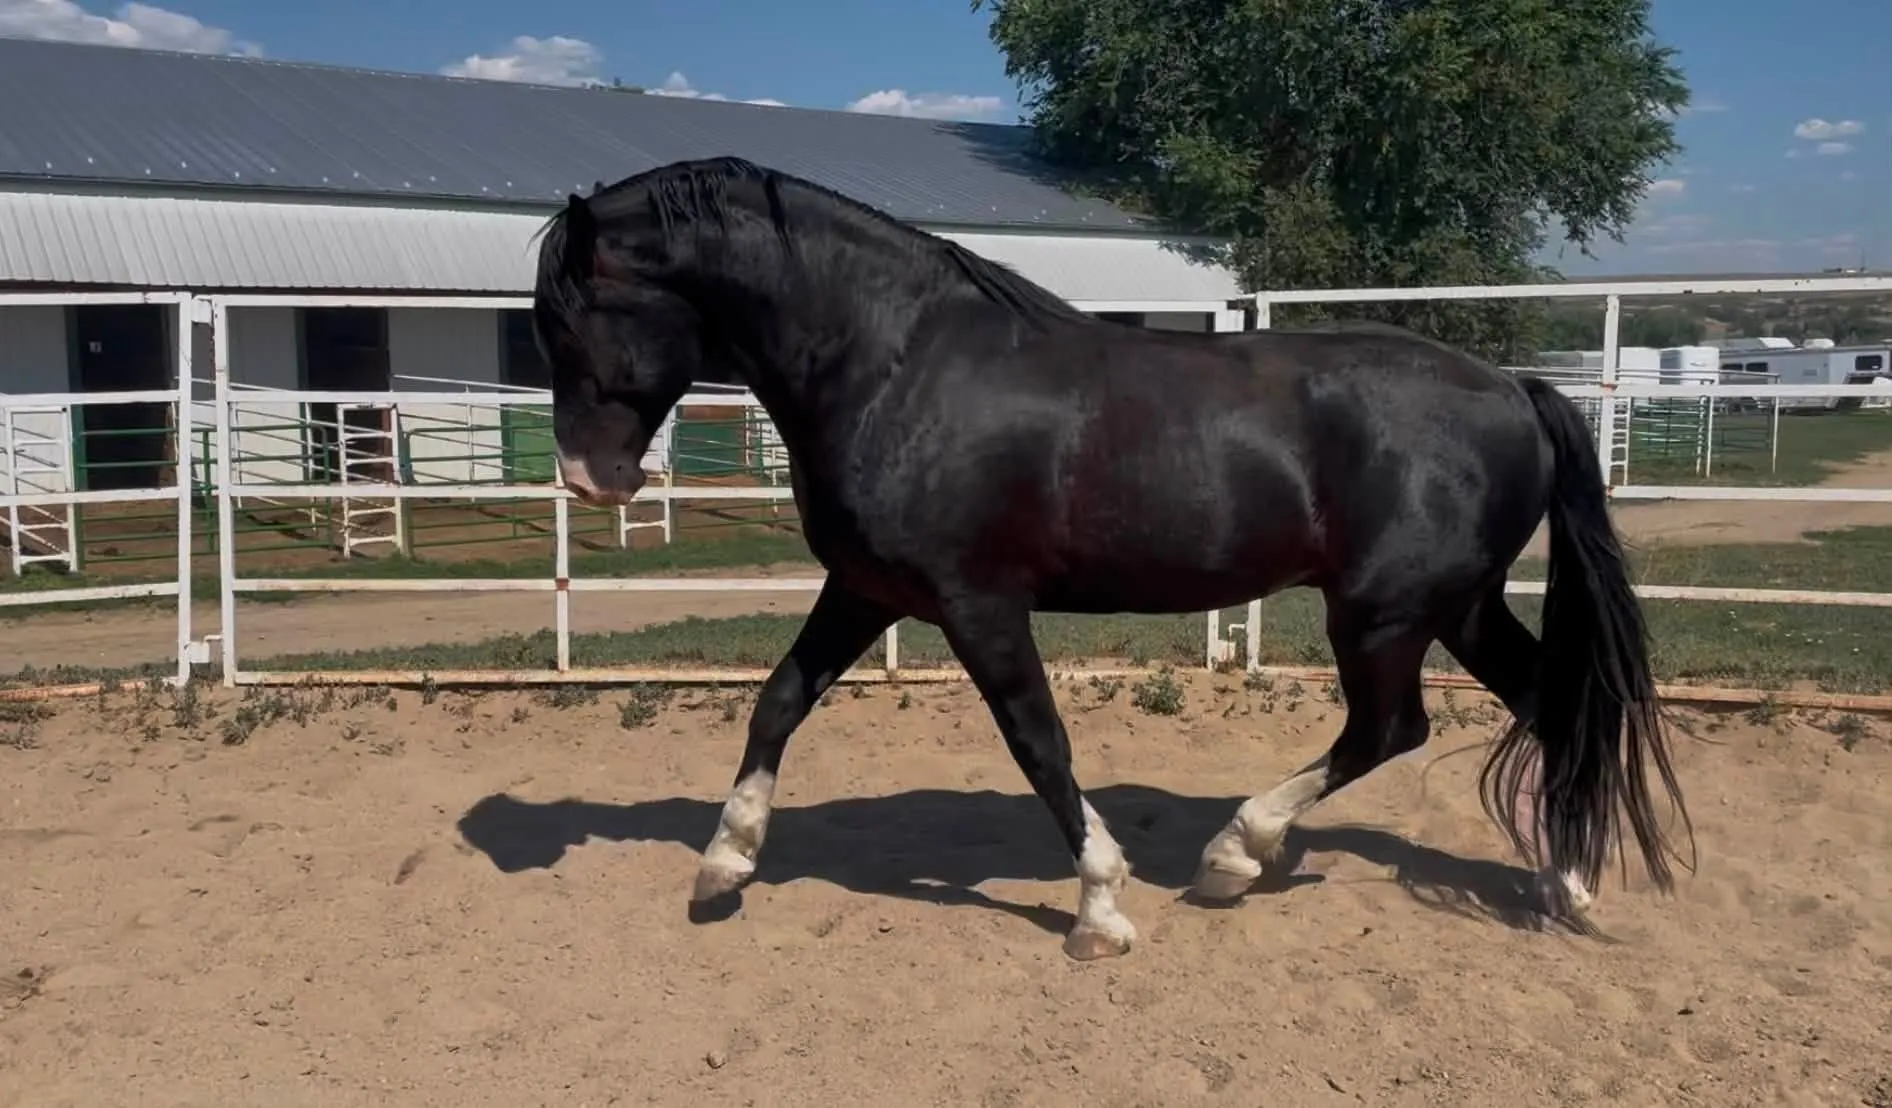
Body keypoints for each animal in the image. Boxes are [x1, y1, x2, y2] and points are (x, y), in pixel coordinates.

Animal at [529, 155, 1694, 961]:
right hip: (1457, 606)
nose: (590, 479)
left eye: (571, 317)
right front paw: (722, 866)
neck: (898, 364)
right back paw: (1564, 881)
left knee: (1391, 728)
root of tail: (1515, 391)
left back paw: (1235, 854)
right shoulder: (865, 589)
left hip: (1382, 613)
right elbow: (777, 699)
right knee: (1547, 700)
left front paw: (1099, 908)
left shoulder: (977, 602)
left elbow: (1037, 742)